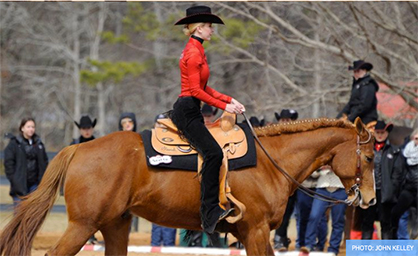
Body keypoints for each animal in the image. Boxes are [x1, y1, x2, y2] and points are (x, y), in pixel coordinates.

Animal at [0, 117, 376, 255]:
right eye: (371, 156)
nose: (371, 199)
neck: (271, 162)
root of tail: (79, 147)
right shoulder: (255, 232)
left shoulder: (245, 234)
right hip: (83, 225)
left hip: (115, 224)